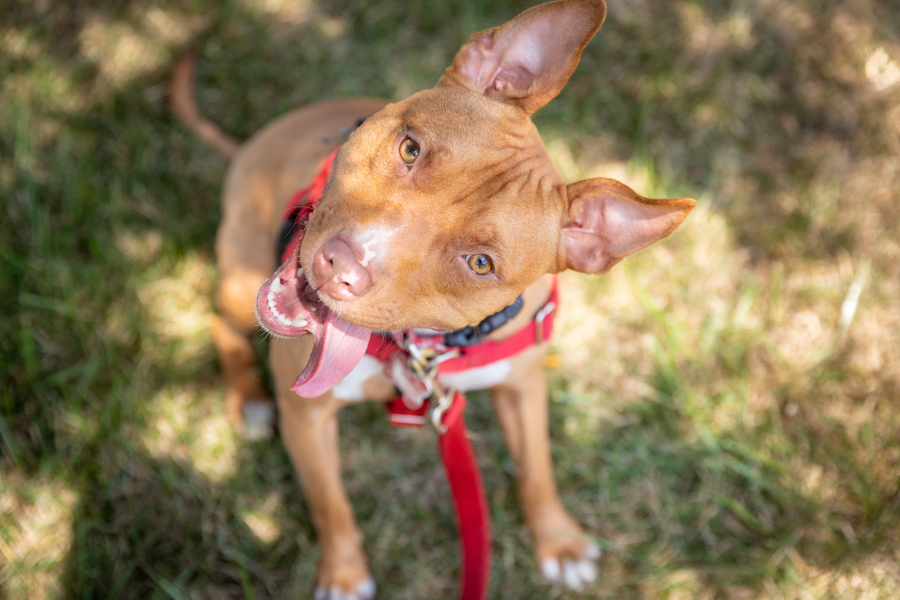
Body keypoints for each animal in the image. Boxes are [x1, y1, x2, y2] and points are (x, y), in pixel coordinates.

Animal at [171, 2, 696, 596]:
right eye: (409, 148)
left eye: (480, 263)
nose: (341, 267)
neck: (416, 348)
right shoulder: (307, 415)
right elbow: (331, 504)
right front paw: (345, 573)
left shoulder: (524, 384)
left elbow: (538, 468)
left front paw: (557, 540)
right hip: (241, 276)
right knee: (221, 321)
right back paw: (250, 402)